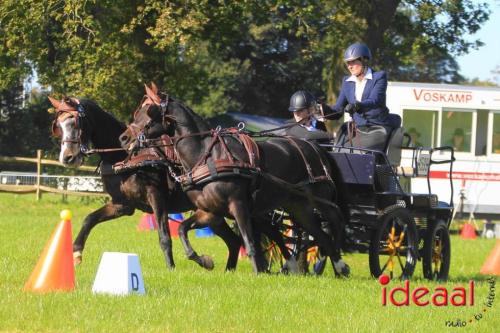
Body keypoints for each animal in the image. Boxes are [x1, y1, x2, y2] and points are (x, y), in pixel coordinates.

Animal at [48, 95, 242, 270]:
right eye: (58, 126)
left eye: (75, 122)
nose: (67, 158)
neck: (124, 156)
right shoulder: (122, 204)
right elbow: (89, 219)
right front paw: (76, 254)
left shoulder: (156, 197)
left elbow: (164, 236)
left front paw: (171, 268)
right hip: (212, 213)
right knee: (234, 241)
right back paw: (227, 270)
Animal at [119, 85, 350, 274]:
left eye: (149, 112)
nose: (124, 138)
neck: (206, 155)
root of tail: (316, 147)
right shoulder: (210, 211)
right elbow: (184, 229)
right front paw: (204, 261)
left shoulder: (238, 205)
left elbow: (249, 242)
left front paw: (258, 273)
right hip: (298, 207)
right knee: (318, 234)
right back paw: (330, 267)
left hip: (320, 199)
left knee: (335, 219)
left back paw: (338, 263)